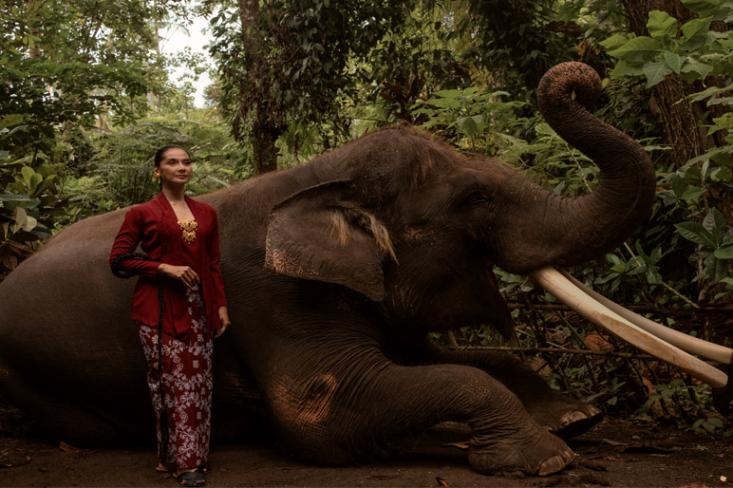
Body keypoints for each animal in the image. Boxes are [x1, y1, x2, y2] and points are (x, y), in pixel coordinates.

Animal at [0, 62, 724, 476]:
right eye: (476, 199)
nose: (585, 80)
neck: (323, 174)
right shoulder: (277, 296)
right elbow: (325, 409)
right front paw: (545, 455)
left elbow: (447, 357)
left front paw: (571, 417)